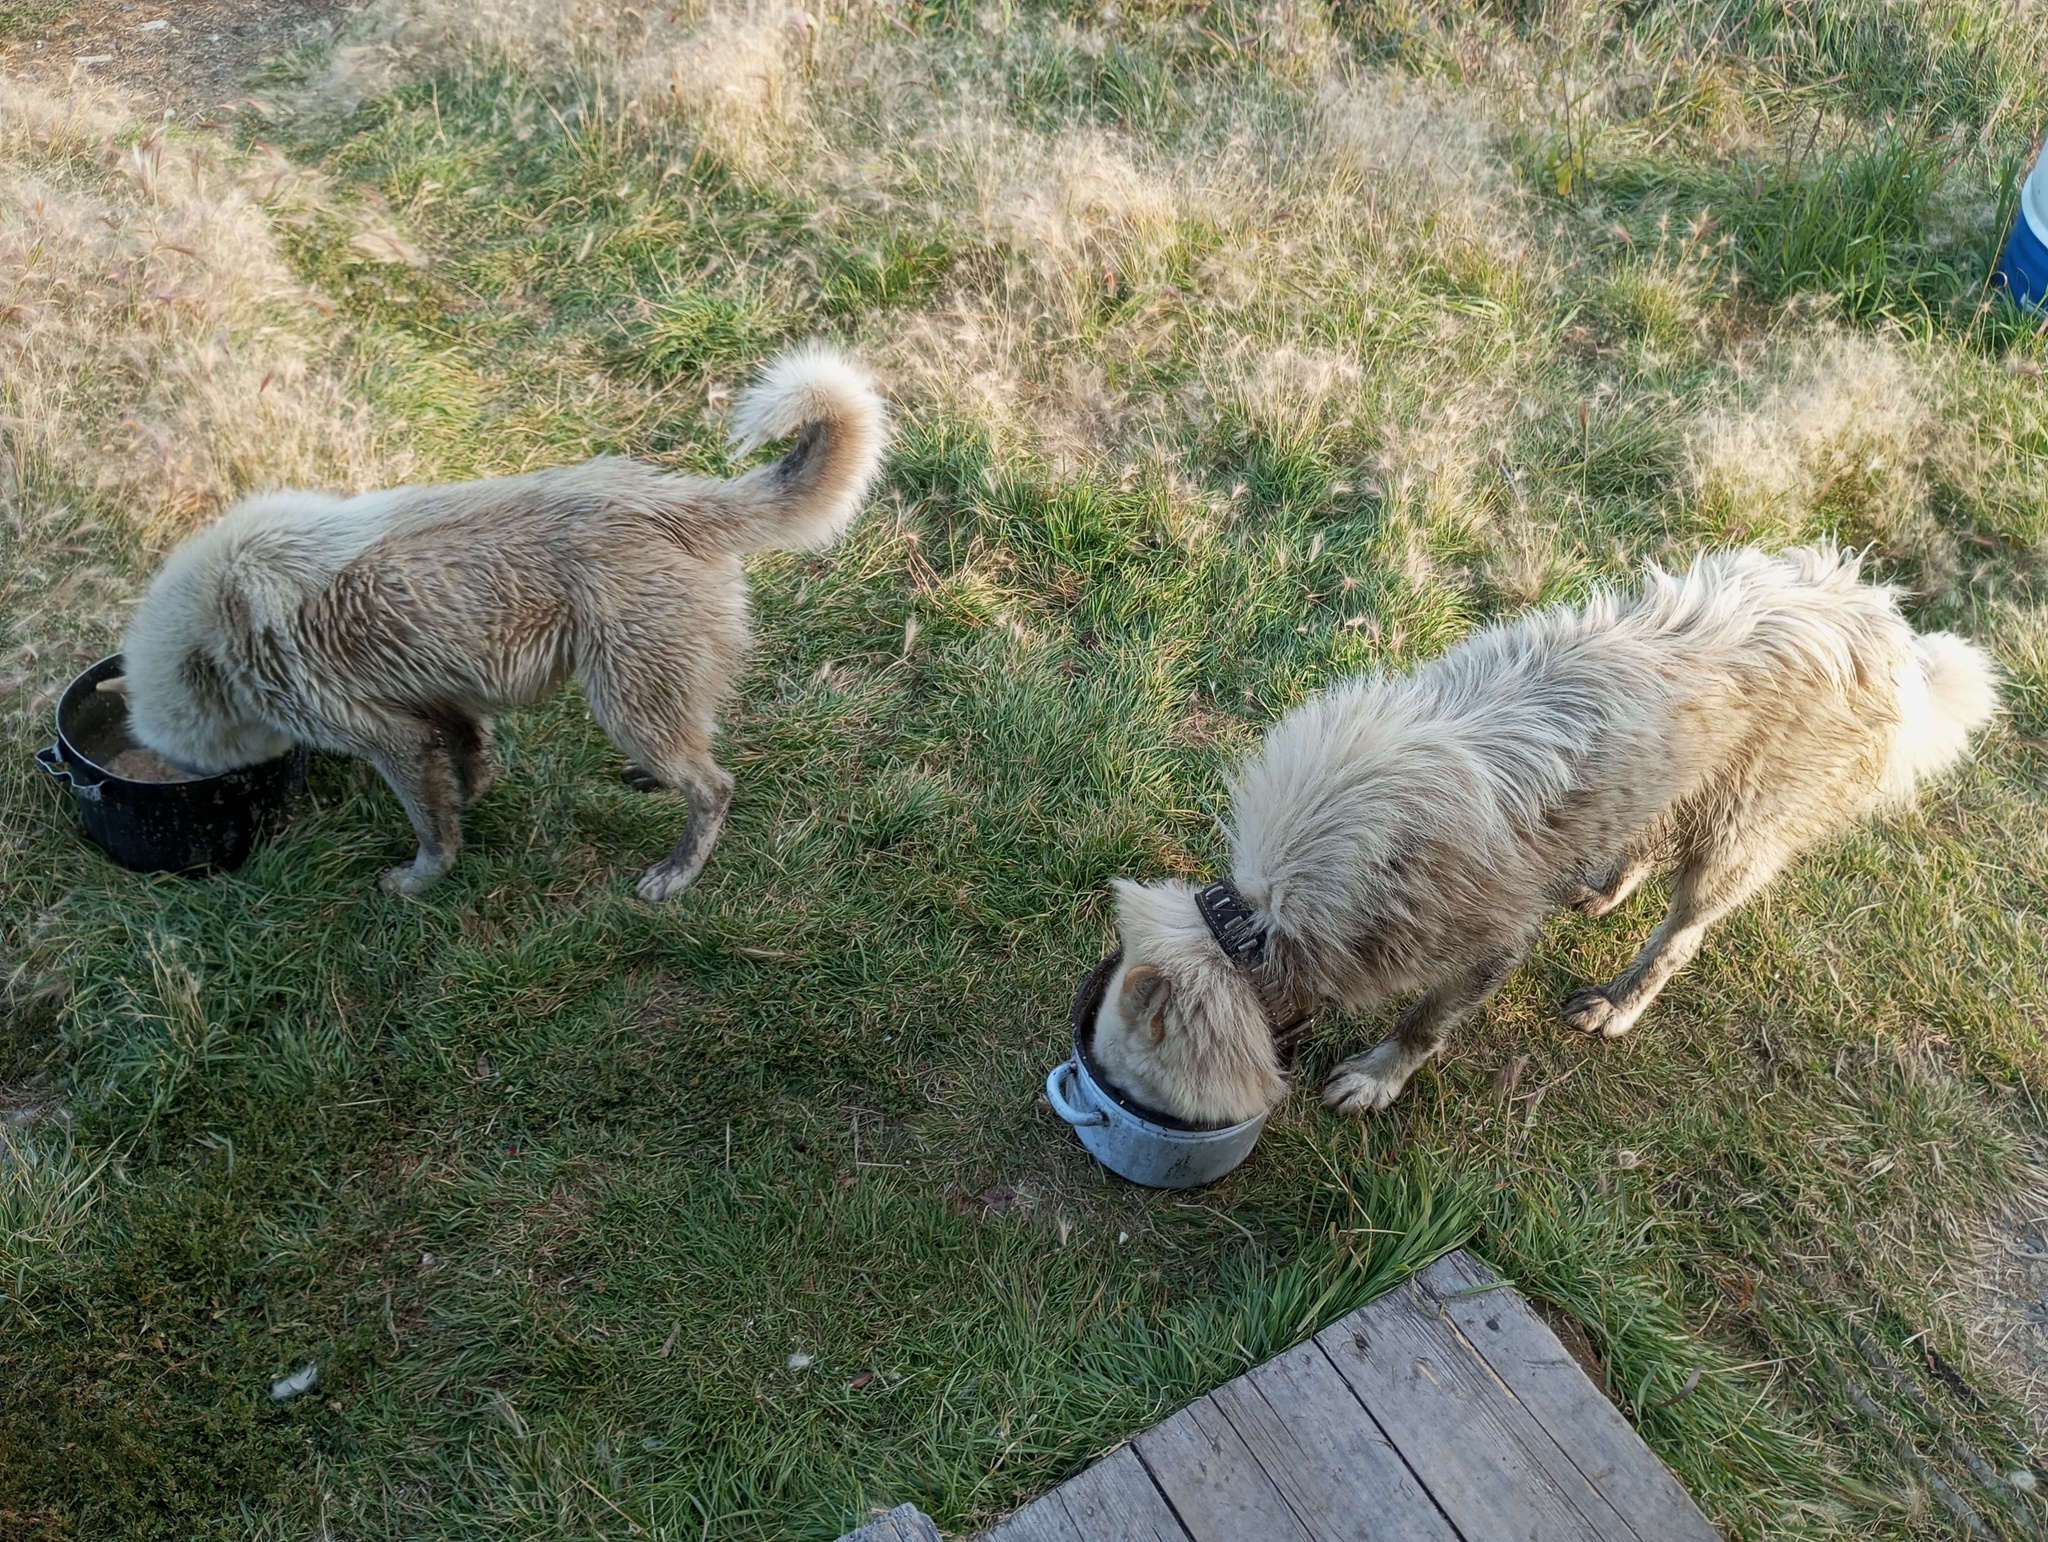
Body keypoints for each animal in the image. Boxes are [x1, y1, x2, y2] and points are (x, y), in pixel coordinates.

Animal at [117, 341, 888, 896]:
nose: (173, 774)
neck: (212, 629)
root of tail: (667, 500)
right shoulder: (440, 700)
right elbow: (469, 763)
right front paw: (474, 797)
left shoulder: (389, 739)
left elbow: (432, 828)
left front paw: (421, 881)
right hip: (655, 696)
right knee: (701, 746)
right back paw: (653, 781)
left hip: (624, 702)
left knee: (715, 788)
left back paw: (677, 871)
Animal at [1089, 548, 1998, 1122]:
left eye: (1128, 1085)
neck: (1263, 917)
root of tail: (1888, 629)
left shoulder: (1488, 946)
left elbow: (1424, 1024)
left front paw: (1378, 1080)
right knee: (1642, 840)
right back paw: (1603, 886)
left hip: (1736, 839)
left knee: (1681, 936)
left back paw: (1617, 1005)